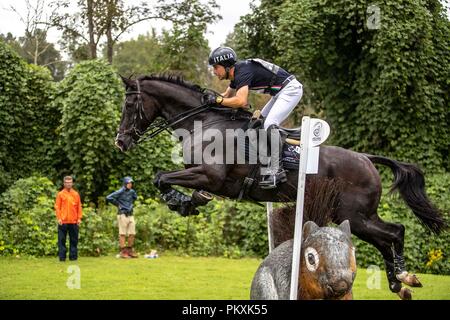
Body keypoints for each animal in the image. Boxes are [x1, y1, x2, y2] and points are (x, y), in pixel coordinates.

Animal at [114, 75, 444, 300]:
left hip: (355, 216)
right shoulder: (206, 178)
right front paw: (188, 202)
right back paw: (399, 283)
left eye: (130, 104)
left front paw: (180, 201)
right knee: (390, 235)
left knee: (394, 233)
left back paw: (404, 277)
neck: (205, 122)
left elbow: (161, 177)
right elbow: (166, 179)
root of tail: (365, 157)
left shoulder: (209, 175)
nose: (121, 142)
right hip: (358, 216)